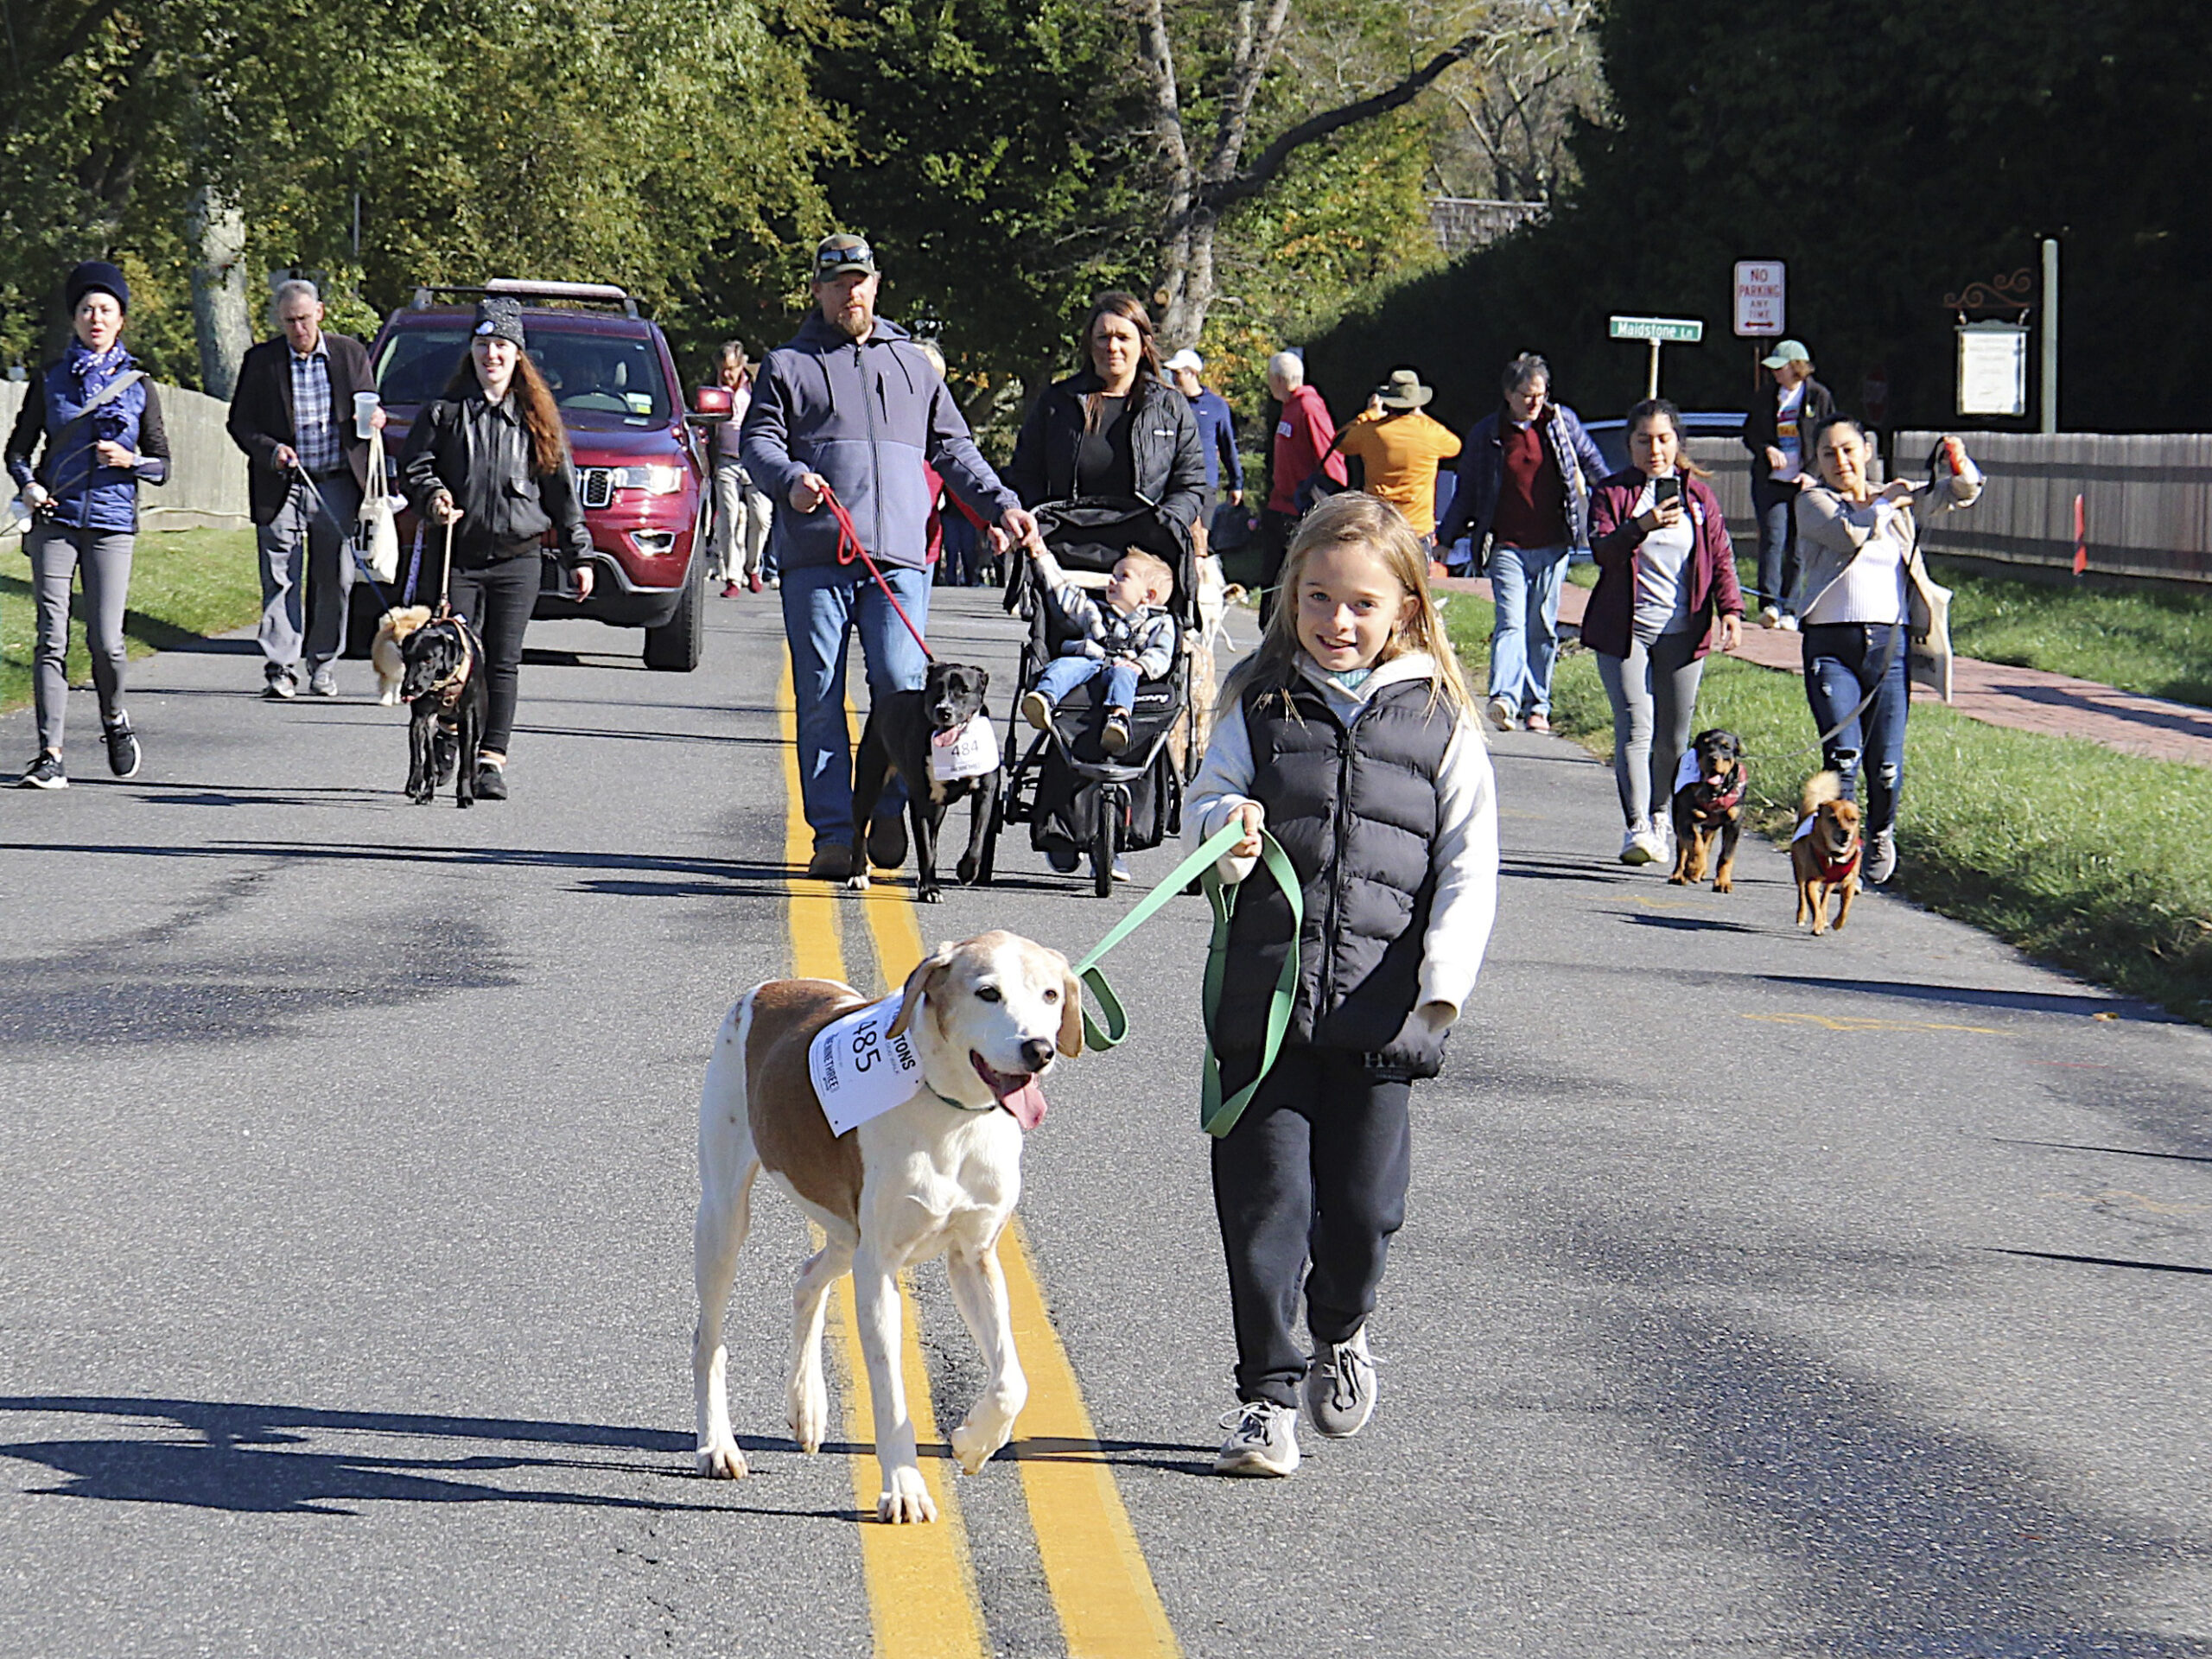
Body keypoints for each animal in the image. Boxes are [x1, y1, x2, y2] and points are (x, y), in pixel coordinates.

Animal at [685, 929, 1075, 1530]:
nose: (1039, 1049)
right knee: (709, 1339)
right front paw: (905, 1489)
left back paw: (807, 1406)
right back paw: (718, 1446)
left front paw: (974, 1443)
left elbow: (1013, 1381)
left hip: (847, 1235)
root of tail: (771, 988)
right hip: (726, 1217)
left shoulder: (973, 1256)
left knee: (807, 1280)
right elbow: (891, 1392)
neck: (953, 1119)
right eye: (988, 992)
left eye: (1051, 994)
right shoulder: (881, 1268)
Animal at [844, 654, 1004, 902]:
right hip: (869, 781)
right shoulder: (920, 799)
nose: (944, 711)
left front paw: (967, 871)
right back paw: (858, 874)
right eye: (938, 688)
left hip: (936, 807)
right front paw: (930, 888)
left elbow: (978, 835)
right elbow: (925, 849)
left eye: (964, 690)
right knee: (859, 830)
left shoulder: (986, 791)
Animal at [1672, 725, 1743, 898]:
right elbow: (1695, 843)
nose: (1713, 758)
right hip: (1677, 816)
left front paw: (1723, 883)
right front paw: (1694, 868)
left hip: (1712, 826)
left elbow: (1726, 856)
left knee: (1706, 841)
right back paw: (1679, 875)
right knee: (1683, 847)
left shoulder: (1734, 823)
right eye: (1705, 744)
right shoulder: (1686, 818)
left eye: (1726, 747)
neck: (1714, 791)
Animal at [1787, 769, 1858, 938]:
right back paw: (1802, 916)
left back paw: (1825, 917)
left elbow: (1845, 908)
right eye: (1833, 819)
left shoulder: (1849, 883)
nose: (1846, 833)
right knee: (1802, 895)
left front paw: (1837, 923)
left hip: (1830, 883)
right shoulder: (1811, 882)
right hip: (1799, 871)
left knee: (1825, 898)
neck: (1836, 854)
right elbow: (1814, 905)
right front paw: (1817, 924)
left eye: (1853, 820)